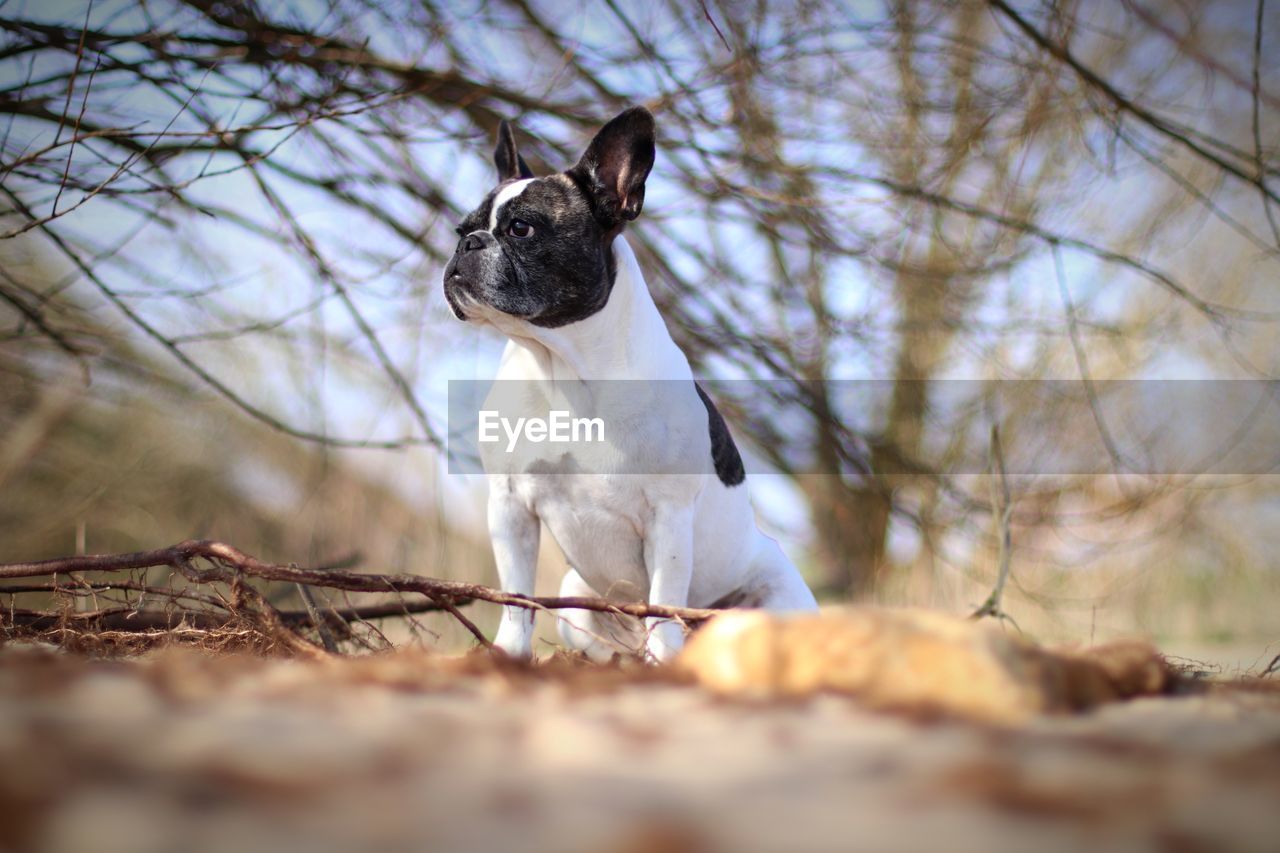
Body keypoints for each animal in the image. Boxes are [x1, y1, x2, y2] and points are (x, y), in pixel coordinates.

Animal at [445, 106, 814, 660]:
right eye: (461, 228)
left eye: (521, 228)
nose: (468, 243)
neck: (563, 369)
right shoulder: (510, 506)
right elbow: (515, 598)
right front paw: (508, 655)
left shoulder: (668, 519)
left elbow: (663, 604)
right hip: (577, 602)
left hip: (777, 598)